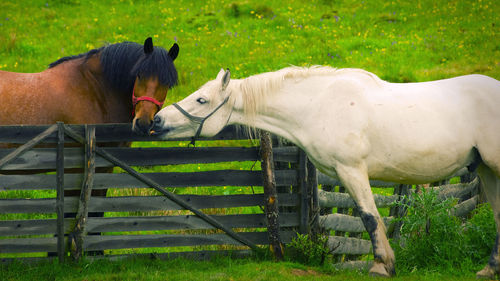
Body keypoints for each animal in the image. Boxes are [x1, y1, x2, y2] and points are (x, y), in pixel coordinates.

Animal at [151, 66, 500, 278]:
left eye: (201, 99)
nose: (156, 120)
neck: (318, 104)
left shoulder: (352, 170)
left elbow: (369, 216)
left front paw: (381, 266)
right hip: (486, 169)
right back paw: (489, 269)